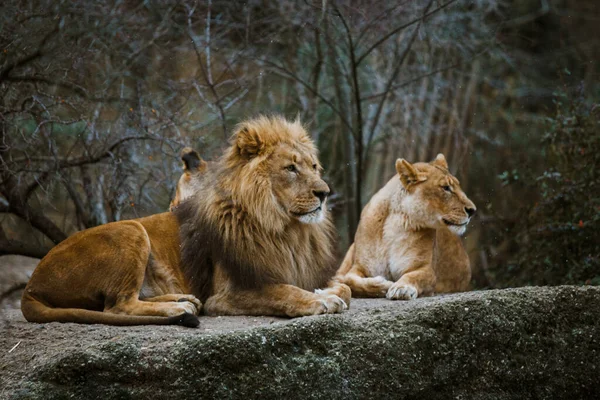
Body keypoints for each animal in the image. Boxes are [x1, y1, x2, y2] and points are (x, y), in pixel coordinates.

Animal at [23, 116, 350, 328]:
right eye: (291, 168)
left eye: (314, 166)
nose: (324, 193)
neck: (285, 229)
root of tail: (31, 285)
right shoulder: (223, 295)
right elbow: (280, 291)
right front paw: (317, 302)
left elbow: (342, 288)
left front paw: (326, 293)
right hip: (132, 229)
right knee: (117, 306)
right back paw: (178, 306)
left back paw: (183, 298)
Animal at [336, 155, 476, 302]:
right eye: (446, 188)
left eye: (458, 185)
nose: (472, 210)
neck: (395, 221)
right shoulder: (359, 267)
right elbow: (350, 280)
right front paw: (383, 284)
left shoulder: (426, 269)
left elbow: (413, 276)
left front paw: (401, 288)